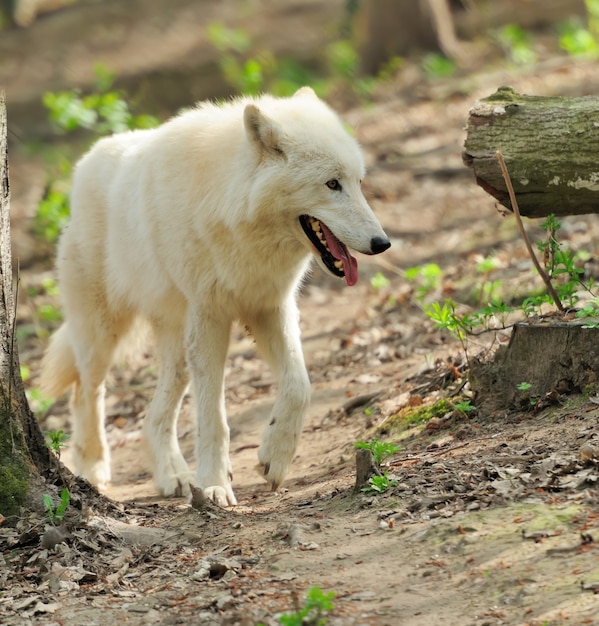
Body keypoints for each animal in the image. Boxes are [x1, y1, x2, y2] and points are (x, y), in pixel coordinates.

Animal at [39, 88, 392, 504]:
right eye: (332, 184)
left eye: (358, 182)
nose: (382, 243)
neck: (234, 213)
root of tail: (85, 163)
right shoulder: (211, 319)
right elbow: (213, 419)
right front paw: (214, 485)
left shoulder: (270, 308)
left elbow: (299, 387)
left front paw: (274, 458)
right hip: (104, 334)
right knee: (86, 392)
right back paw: (94, 468)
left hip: (177, 348)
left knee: (153, 417)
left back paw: (175, 476)